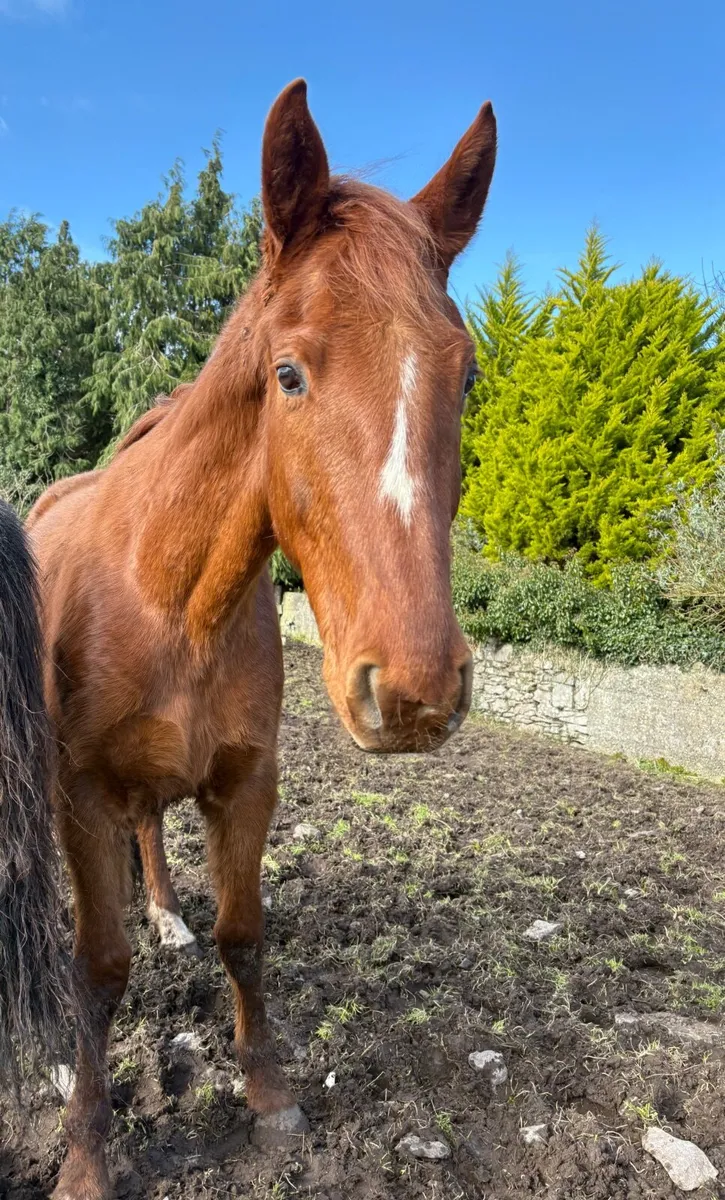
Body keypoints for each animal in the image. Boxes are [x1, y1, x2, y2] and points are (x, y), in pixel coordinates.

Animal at [23, 79, 496, 1199]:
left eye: (463, 378)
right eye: (288, 374)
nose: (413, 689)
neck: (167, 597)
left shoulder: (245, 783)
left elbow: (244, 935)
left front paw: (269, 1095)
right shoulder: (80, 797)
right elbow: (98, 972)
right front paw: (86, 1151)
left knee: (157, 837)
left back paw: (165, 911)